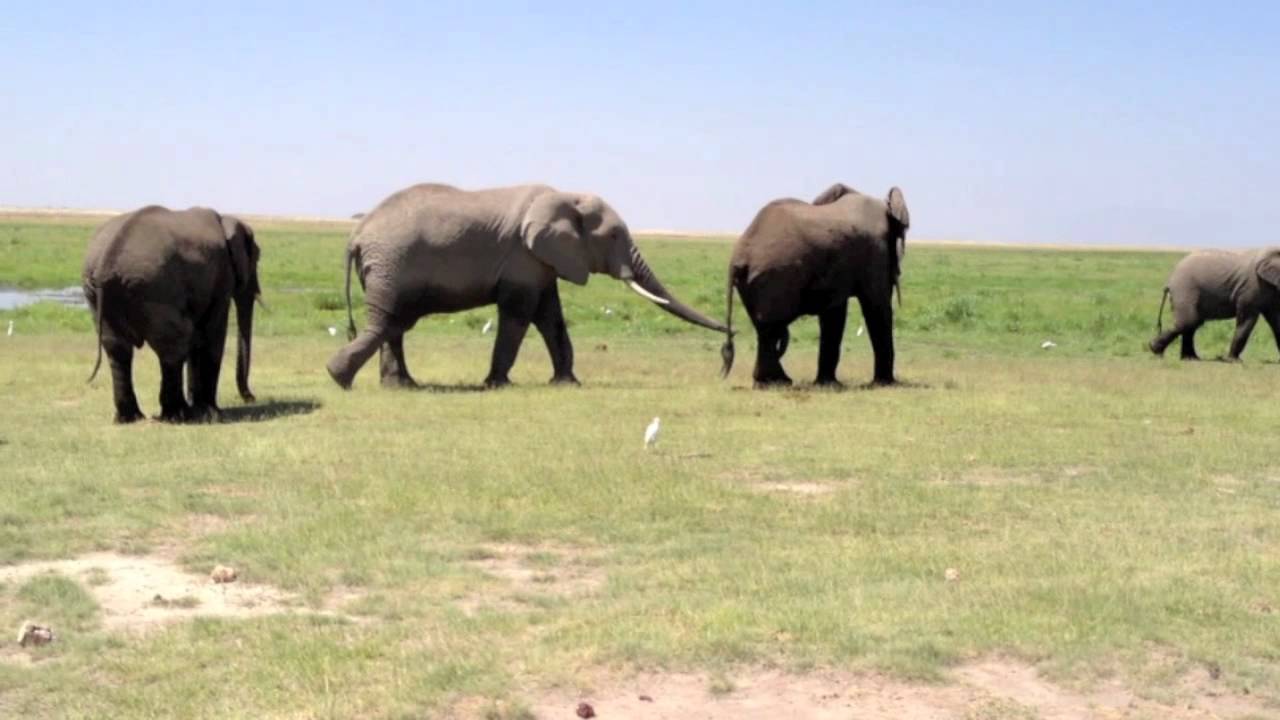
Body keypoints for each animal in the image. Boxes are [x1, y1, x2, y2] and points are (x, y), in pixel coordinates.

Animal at [83, 206, 261, 423]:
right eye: (256, 259)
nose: (250, 398)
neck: (226, 220)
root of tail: (106, 264)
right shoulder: (222, 276)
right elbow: (212, 332)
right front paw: (211, 413)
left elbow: (198, 336)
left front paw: (201, 408)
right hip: (156, 286)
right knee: (174, 344)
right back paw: (178, 415)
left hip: (99, 294)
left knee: (117, 347)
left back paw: (131, 418)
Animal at [325, 183, 730, 389]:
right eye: (615, 235)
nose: (730, 341)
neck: (564, 195)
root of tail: (356, 235)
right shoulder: (522, 255)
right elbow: (519, 314)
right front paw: (498, 384)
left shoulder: (542, 260)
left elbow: (551, 317)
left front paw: (567, 383)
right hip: (392, 265)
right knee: (388, 321)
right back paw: (341, 378)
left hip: (387, 267)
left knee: (394, 325)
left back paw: (399, 385)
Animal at [719, 182, 910, 388]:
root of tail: (737, 258)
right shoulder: (876, 250)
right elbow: (876, 306)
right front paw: (884, 384)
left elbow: (834, 313)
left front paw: (828, 384)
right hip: (774, 277)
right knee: (771, 327)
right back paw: (777, 382)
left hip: (755, 283)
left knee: (764, 328)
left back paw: (770, 382)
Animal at [1148, 248, 1280, 361]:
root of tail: (1169, 281)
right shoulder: (1251, 287)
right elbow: (1247, 319)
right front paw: (1234, 361)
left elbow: (1276, 320)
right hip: (1185, 290)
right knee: (1188, 321)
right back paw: (1155, 350)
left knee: (1193, 323)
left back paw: (1191, 358)